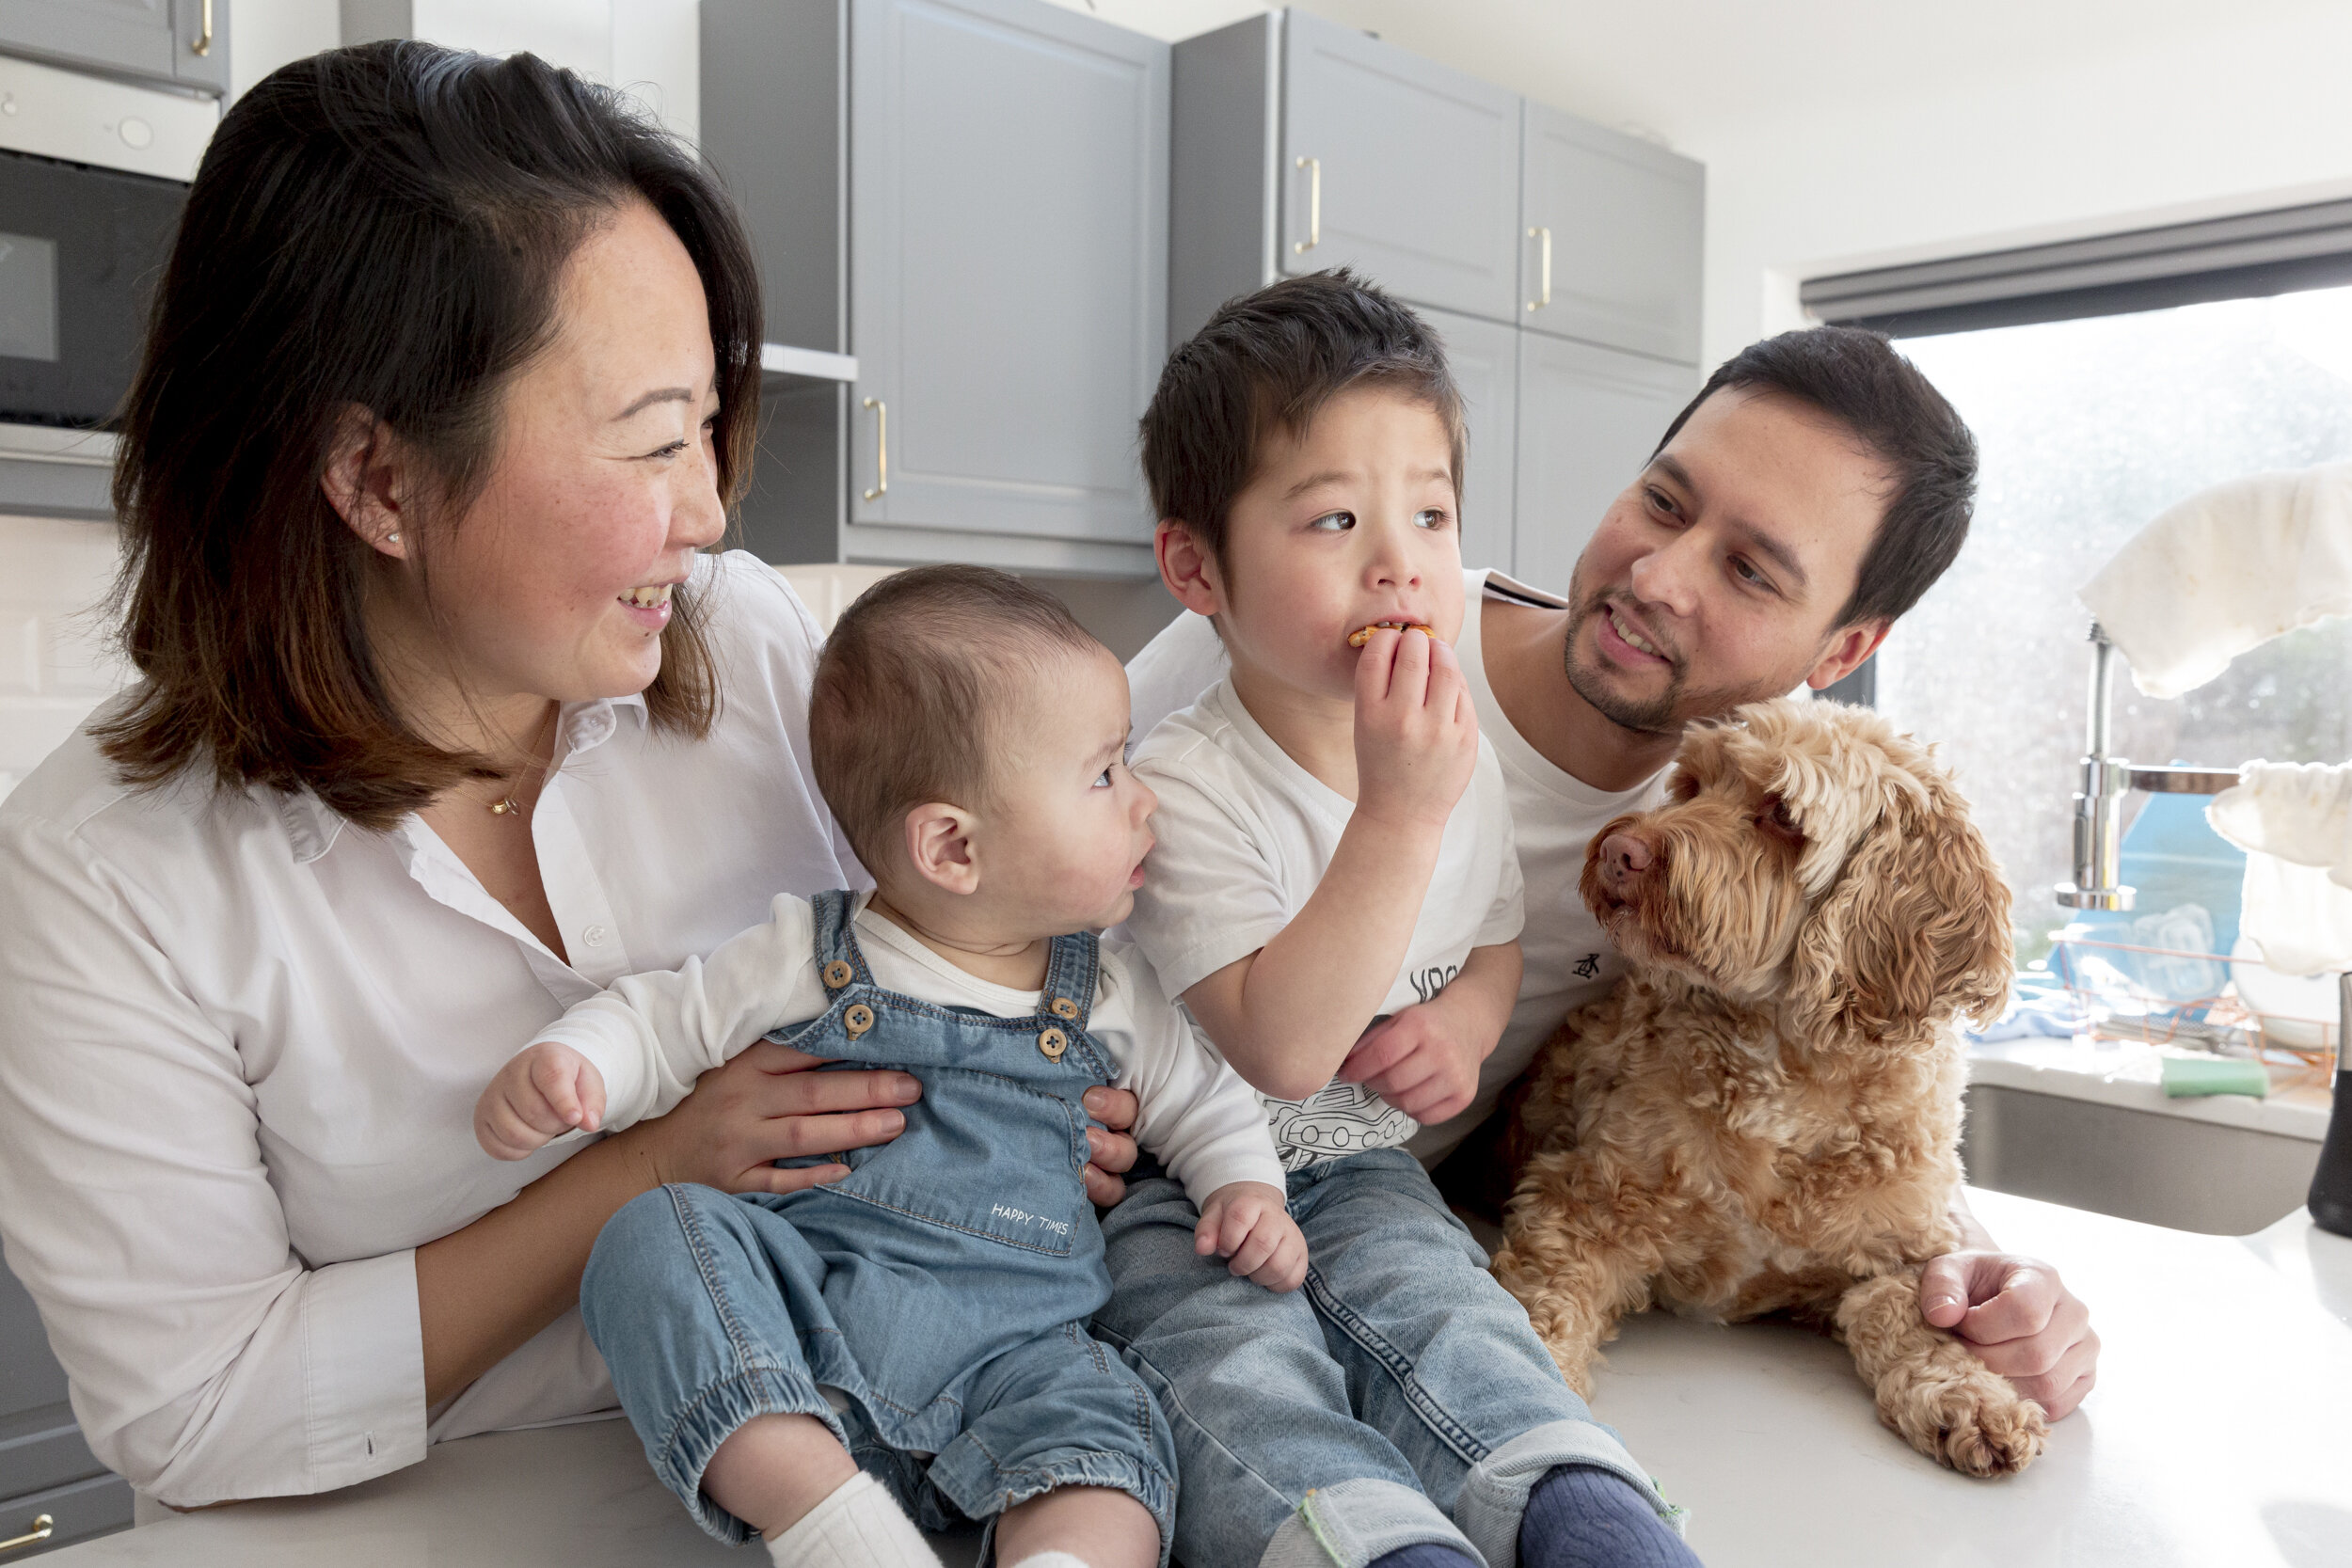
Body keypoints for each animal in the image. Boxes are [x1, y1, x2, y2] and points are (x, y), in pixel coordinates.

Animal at [1496, 705, 2051, 1476]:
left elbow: (1907, 1312)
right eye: (1693, 784)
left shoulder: (1901, 1252)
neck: (1791, 1078)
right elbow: (1540, 1312)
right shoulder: (1582, 1206)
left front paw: (1968, 1393)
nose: (1620, 852)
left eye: (1783, 815)